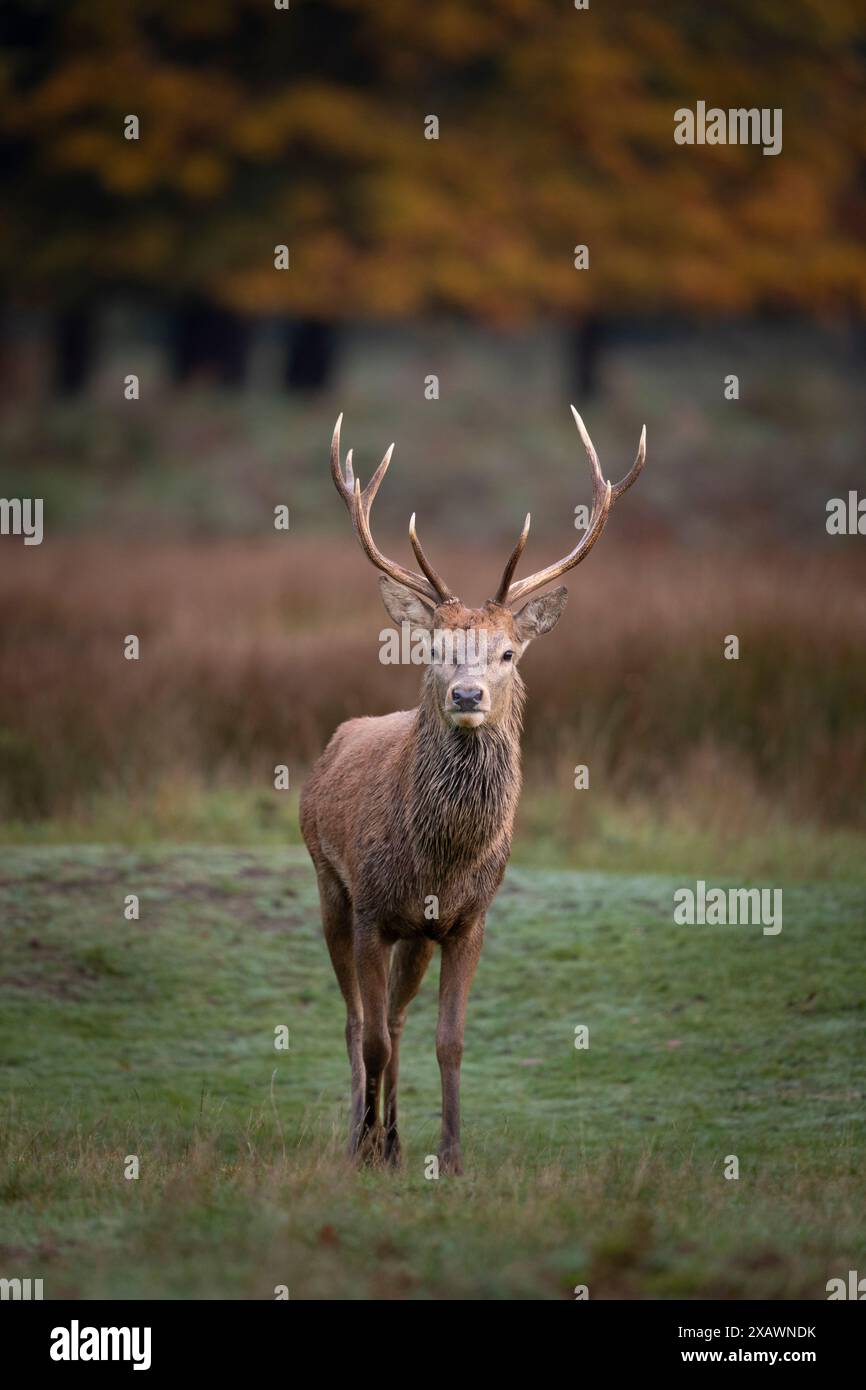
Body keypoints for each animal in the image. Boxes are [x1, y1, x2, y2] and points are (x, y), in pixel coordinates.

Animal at [297, 408, 644, 1173]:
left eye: (508, 651)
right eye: (434, 649)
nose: (466, 694)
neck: (441, 858)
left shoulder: (467, 919)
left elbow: (448, 1041)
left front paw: (450, 1156)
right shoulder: (372, 909)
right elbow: (371, 1037)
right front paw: (365, 1150)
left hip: (415, 936)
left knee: (396, 1018)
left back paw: (395, 1140)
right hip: (329, 885)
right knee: (358, 1022)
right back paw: (362, 1137)